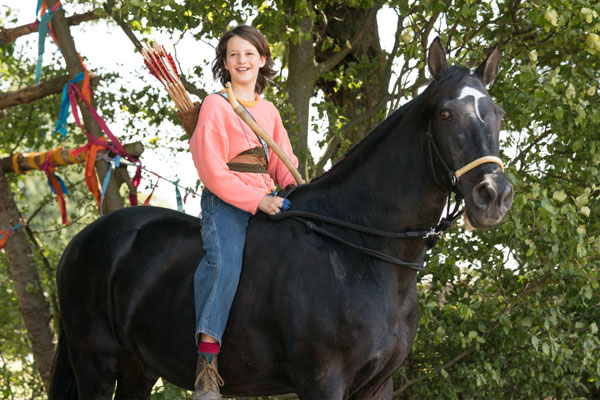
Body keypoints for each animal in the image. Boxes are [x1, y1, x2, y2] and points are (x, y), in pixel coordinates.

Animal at [49, 38, 512, 400]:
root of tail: (83, 241)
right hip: (95, 363)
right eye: (446, 114)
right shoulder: (322, 382)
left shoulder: (378, 385)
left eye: (498, 114)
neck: (360, 250)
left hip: (138, 368)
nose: (494, 196)